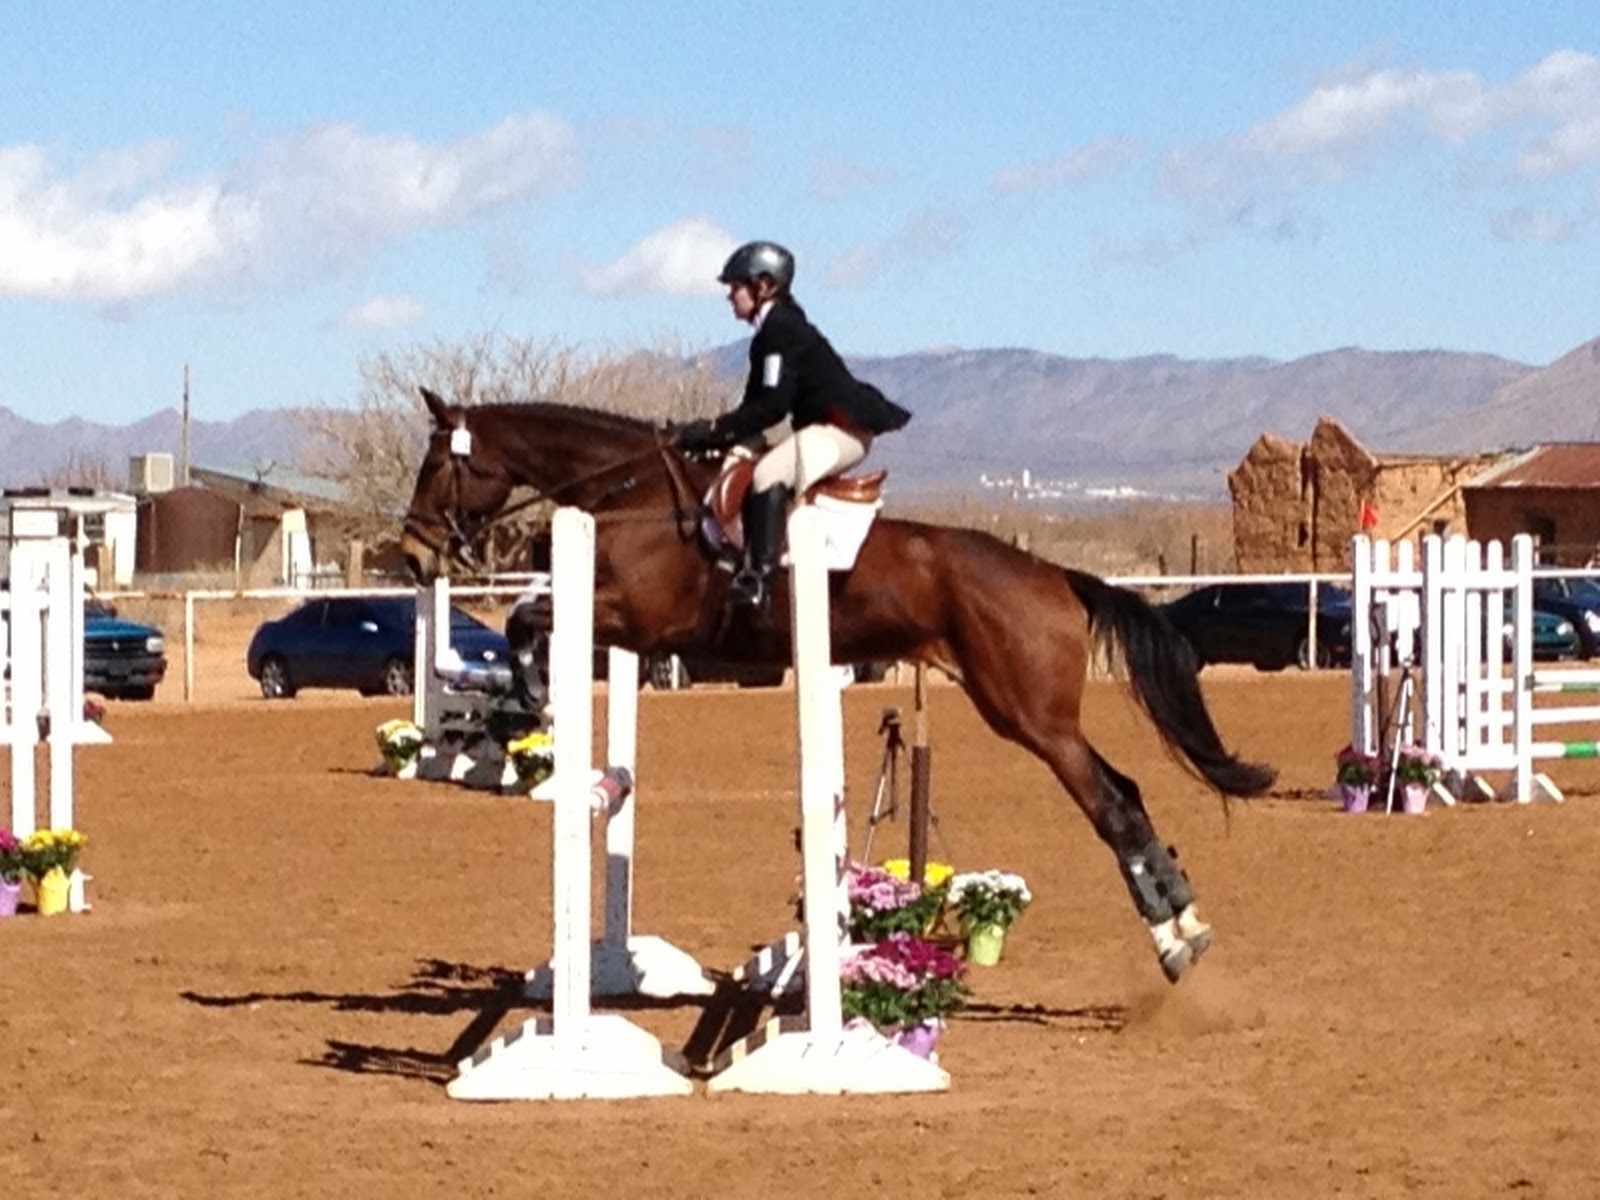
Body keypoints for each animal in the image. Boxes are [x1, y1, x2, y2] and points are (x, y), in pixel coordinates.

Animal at [399, 386, 1275, 982]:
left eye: (438, 464)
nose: (411, 555)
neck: (635, 496)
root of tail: (1055, 575)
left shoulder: (639, 622)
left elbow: (527, 621)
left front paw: (527, 697)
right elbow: (528, 615)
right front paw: (520, 703)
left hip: (1031, 715)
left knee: (1113, 803)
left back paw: (1177, 939)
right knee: (1125, 788)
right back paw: (1184, 921)